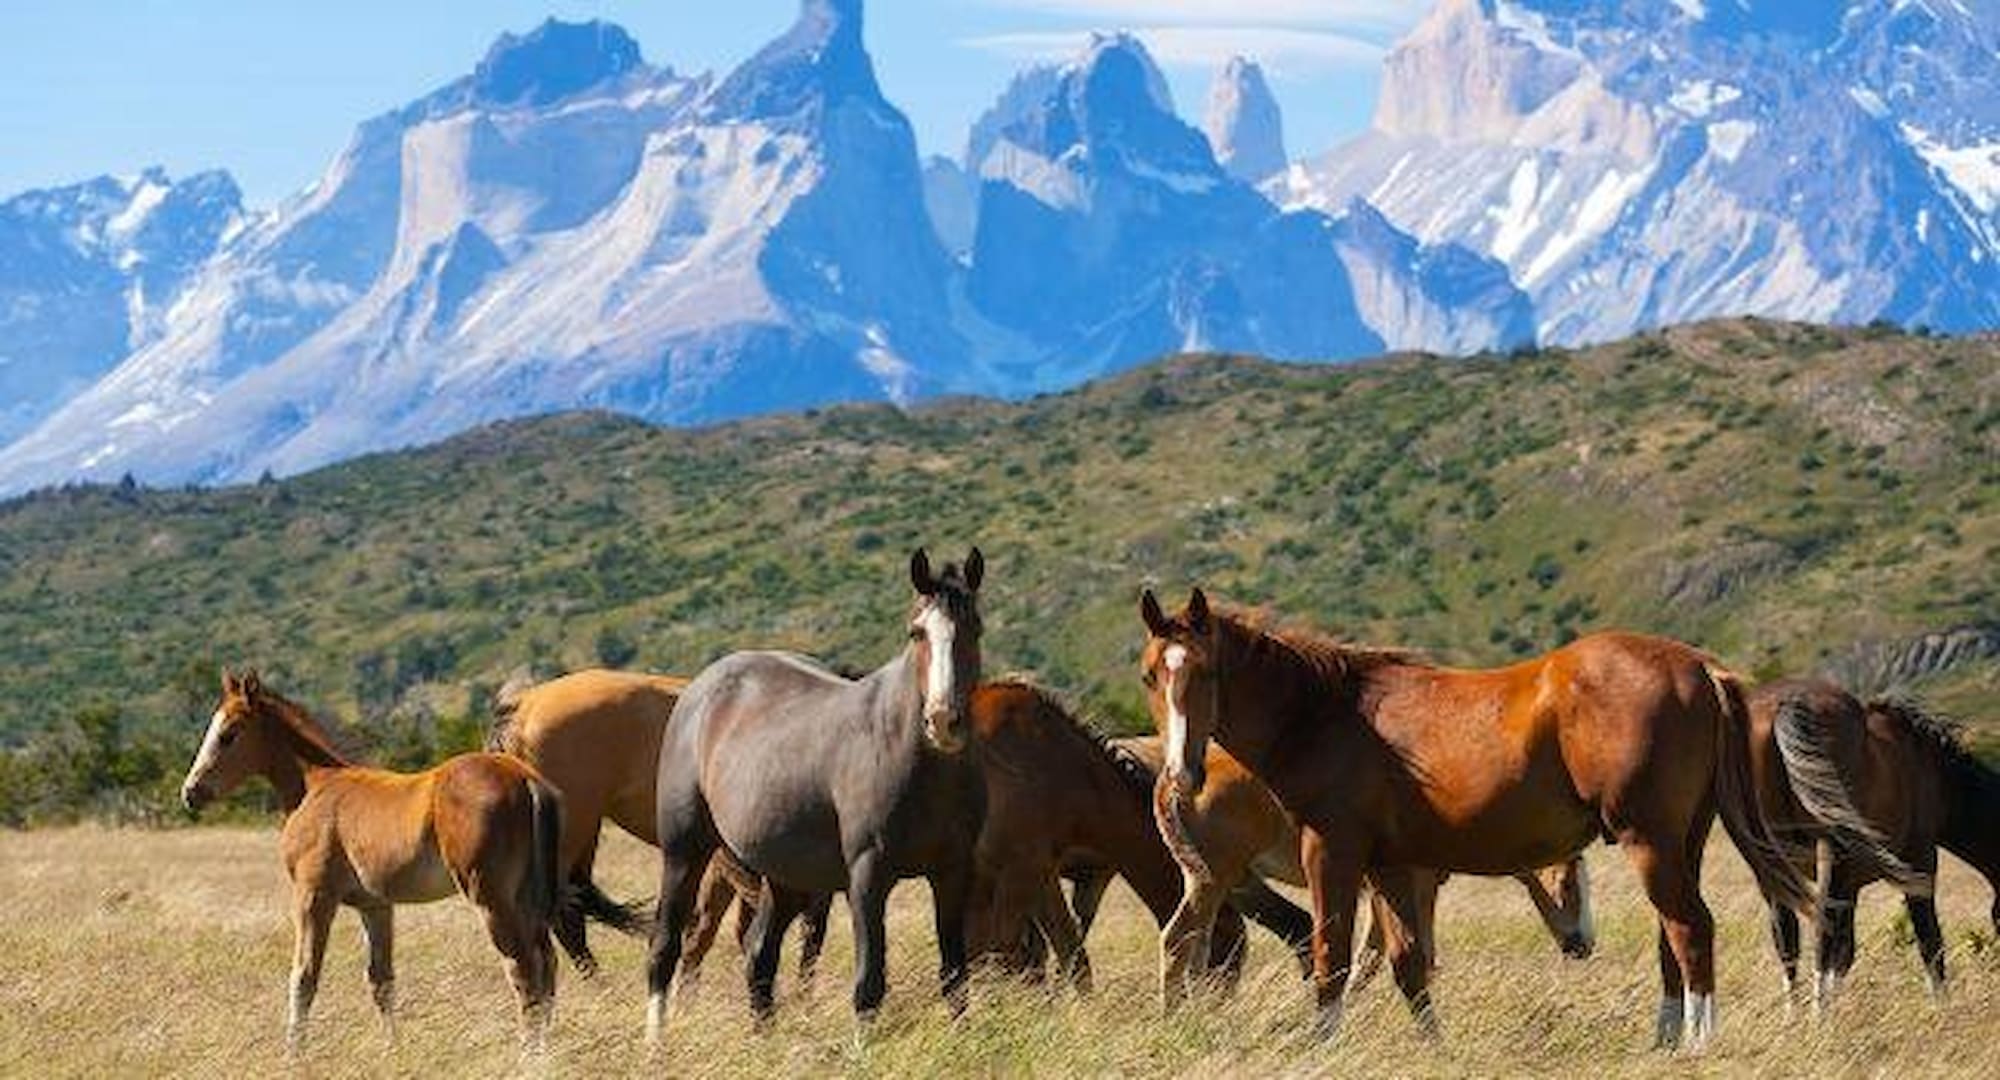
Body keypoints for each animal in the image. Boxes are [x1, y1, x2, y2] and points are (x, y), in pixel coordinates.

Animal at [179, 670, 563, 1054]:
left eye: (228, 734)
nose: (190, 793)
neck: (314, 786)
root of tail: (524, 778)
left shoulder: (313, 895)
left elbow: (304, 976)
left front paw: (293, 1054)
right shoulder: (375, 905)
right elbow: (381, 981)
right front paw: (392, 1050)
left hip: (489, 897)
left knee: (523, 970)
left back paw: (527, 1055)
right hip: (524, 898)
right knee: (546, 966)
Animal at [645, 549, 989, 1042]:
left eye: (975, 629)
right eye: (916, 631)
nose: (943, 720)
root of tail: (700, 690)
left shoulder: (952, 873)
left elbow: (955, 977)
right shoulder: (867, 876)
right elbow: (869, 984)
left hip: (787, 876)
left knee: (759, 956)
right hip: (684, 852)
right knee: (665, 948)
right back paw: (656, 1044)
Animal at [1096, 736, 1596, 1004]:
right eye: (1569, 882)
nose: (1583, 945)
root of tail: (1170, 778)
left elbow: (1381, 954)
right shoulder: (1413, 883)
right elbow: (1399, 955)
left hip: (1218, 883)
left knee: (1200, 945)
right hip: (1212, 879)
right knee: (1179, 939)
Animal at [1746, 678, 2000, 1011]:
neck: (1931, 771)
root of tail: (1789, 704)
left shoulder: (1850, 888)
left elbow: (1844, 953)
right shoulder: (1921, 862)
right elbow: (1930, 942)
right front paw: (1943, 1010)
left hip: (1773, 865)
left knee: (1787, 940)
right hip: (1829, 857)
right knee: (1819, 936)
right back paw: (1818, 1017)